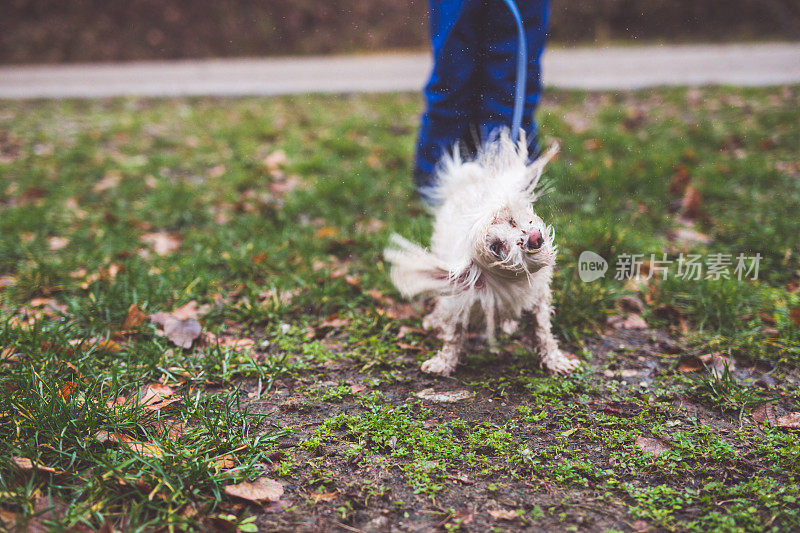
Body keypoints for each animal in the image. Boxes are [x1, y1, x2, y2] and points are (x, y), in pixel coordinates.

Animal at [384, 131, 580, 376]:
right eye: (496, 247)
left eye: (512, 221)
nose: (534, 238)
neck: (512, 283)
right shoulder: (459, 301)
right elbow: (453, 336)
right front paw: (443, 362)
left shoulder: (538, 301)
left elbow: (542, 333)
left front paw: (555, 360)